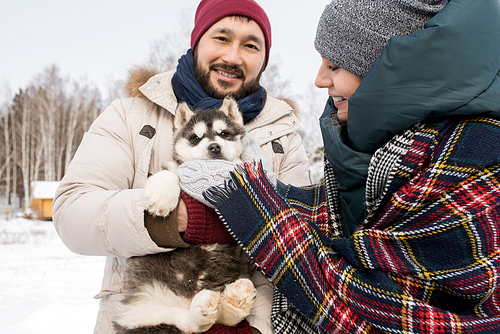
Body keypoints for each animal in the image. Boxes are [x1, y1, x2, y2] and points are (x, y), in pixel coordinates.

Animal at [114, 97, 256, 334]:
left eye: (224, 133)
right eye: (195, 138)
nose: (214, 146)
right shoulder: (172, 169)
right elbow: (169, 174)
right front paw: (162, 196)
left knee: (219, 319)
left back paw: (234, 300)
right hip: (142, 312)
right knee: (190, 323)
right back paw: (207, 307)